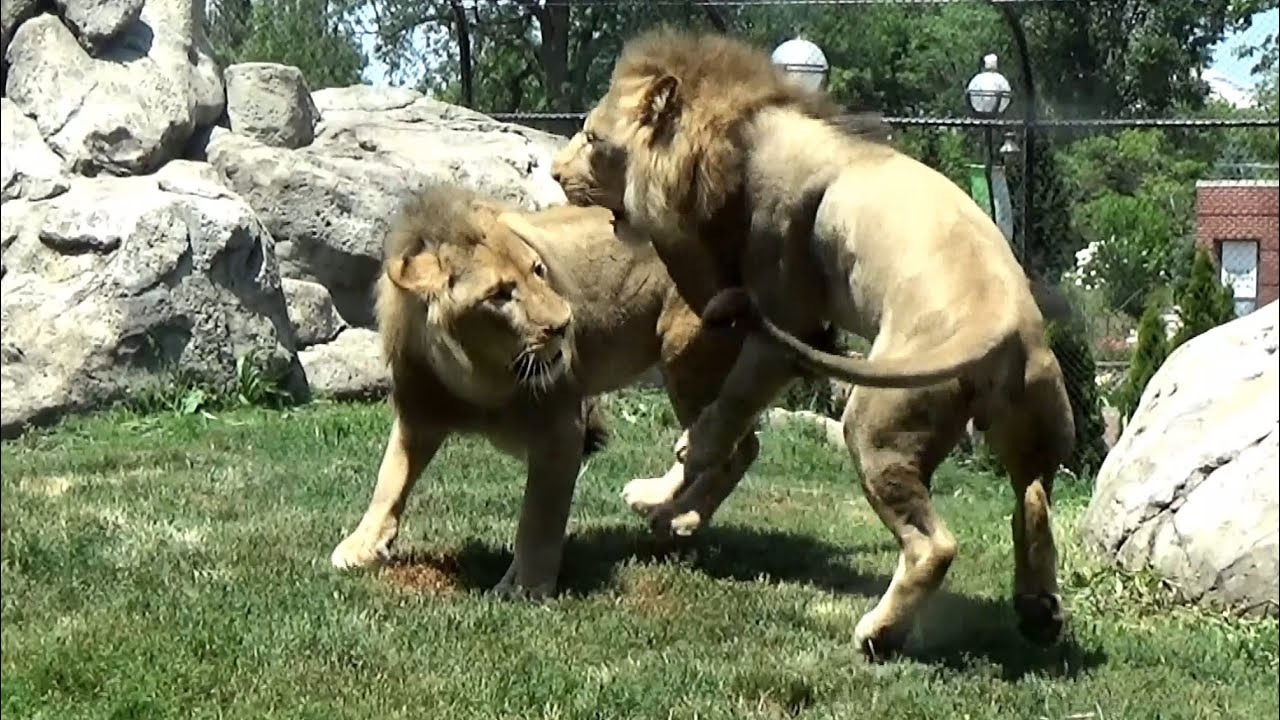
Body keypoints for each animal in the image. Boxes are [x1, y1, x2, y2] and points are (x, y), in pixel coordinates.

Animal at [329, 181, 775, 598]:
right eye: (499, 295)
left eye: (538, 270)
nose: (564, 324)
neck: (477, 375)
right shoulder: (418, 415)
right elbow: (390, 479)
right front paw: (360, 545)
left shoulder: (562, 428)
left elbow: (539, 515)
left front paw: (526, 586)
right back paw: (660, 502)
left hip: (686, 353)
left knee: (737, 446)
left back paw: (675, 514)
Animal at [553, 28, 1076, 657]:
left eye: (591, 139)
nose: (553, 173)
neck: (731, 139)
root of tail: (1002, 324)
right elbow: (723, 433)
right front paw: (666, 503)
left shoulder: (785, 316)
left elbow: (718, 425)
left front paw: (656, 493)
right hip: (1034, 425)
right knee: (1034, 501)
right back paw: (1038, 610)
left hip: (877, 425)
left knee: (935, 545)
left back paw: (878, 633)